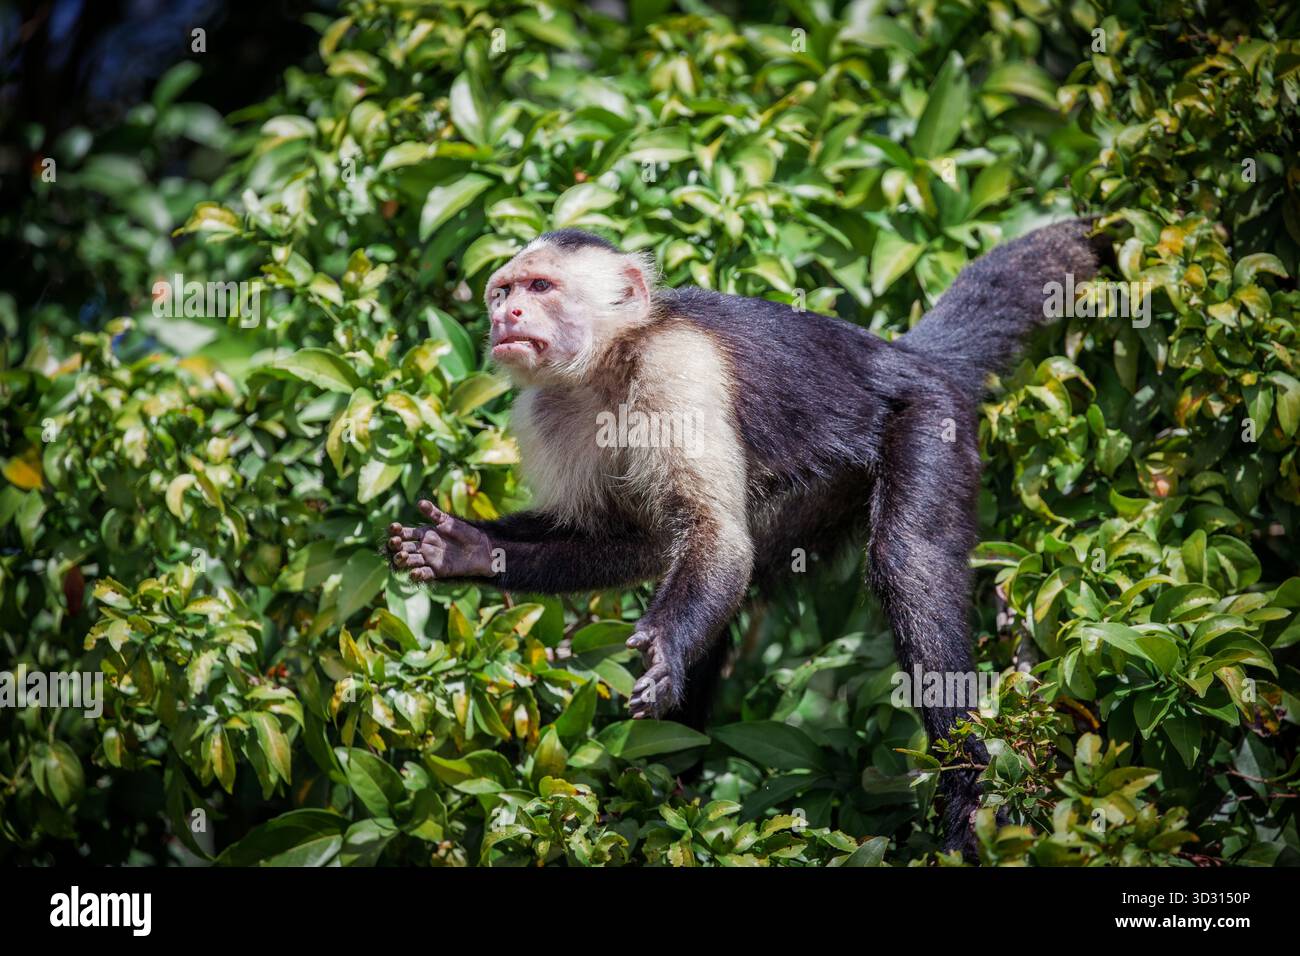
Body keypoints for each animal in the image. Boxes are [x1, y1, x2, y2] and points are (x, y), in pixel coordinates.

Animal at [386, 220, 1107, 853]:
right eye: (503, 292)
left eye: (540, 287)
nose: (506, 316)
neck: (608, 362)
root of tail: (909, 354)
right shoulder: (545, 412)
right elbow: (635, 540)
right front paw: (465, 550)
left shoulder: (674, 371)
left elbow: (713, 536)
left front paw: (663, 650)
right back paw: (666, 789)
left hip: (932, 416)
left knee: (909, 561)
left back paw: (968, 791)